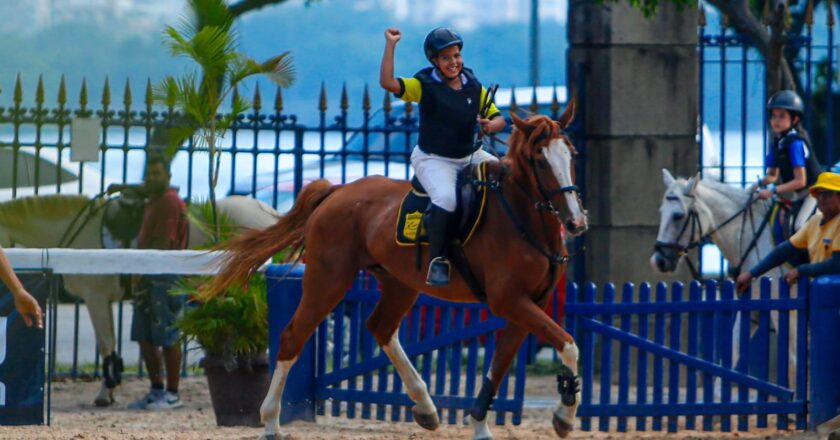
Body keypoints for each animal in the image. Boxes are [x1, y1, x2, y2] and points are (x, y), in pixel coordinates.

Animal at [209, 106, 588, 440]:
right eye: (540, 160)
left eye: (571, 154)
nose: (575, 222)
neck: (521, 218)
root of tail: (338, 191)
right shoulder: (509, 301)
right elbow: (569, 345)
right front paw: (565, 414)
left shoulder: (528, 305)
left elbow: (499, 366)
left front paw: (482, 424)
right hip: (327, 281)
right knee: (292, 337)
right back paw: (271, 422)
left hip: (400, 284)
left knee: (381, 327)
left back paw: (426, 407)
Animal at [648, 169, 800, 392]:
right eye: (661, 212)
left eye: (678, 216)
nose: (658, 261)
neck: (754, 236)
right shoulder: (752, 307)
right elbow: (730, 359)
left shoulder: (785, 309)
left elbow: (795, 363)